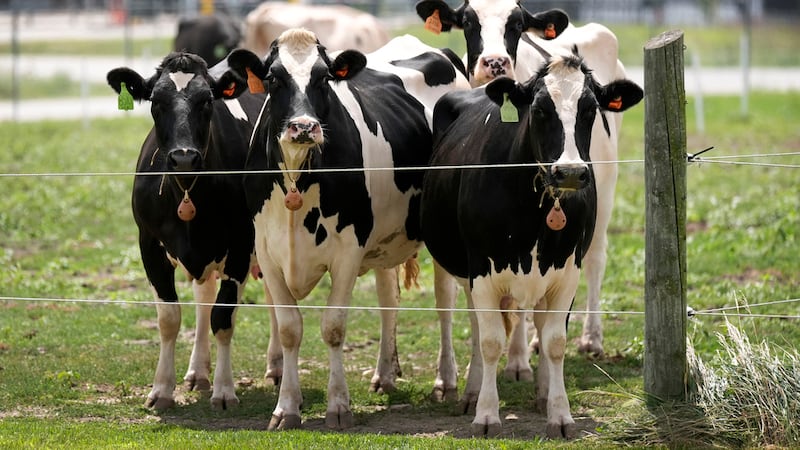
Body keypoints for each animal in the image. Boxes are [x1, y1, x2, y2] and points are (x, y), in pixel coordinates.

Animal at [106, 52, 267, 410]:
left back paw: (276, 369)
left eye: (206, 100)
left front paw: (225, 390)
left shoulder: (240, 244)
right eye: (156, 100)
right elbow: (170, 319)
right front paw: (161, 390)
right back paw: (198, 372)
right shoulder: (149, 244)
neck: (187, 191)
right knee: (203, 299)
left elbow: (223, 318)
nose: (183, 157)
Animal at [222, 28, 469, 430]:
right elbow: (289, 328)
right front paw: (286, 407)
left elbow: (333, 327)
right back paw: (384, 374)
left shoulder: (348, 251)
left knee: (444, 302)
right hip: (385, 237)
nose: (303, 127)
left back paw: (445, 381)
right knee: (388, 299)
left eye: (324, 78)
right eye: (273, 78)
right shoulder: (268, 252)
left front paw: (338, 406)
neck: (297, 178)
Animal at [420, 52, 643, 438]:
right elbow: (490, 341)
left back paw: (541, 392)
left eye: (590, 109)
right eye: (539, 110)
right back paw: (472, 392)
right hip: (462, 269)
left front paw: (560, 413)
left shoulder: (567, 271)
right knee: (476, 326)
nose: (570, 172)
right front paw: (486, 414)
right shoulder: (482, 269)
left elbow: (555, 341)